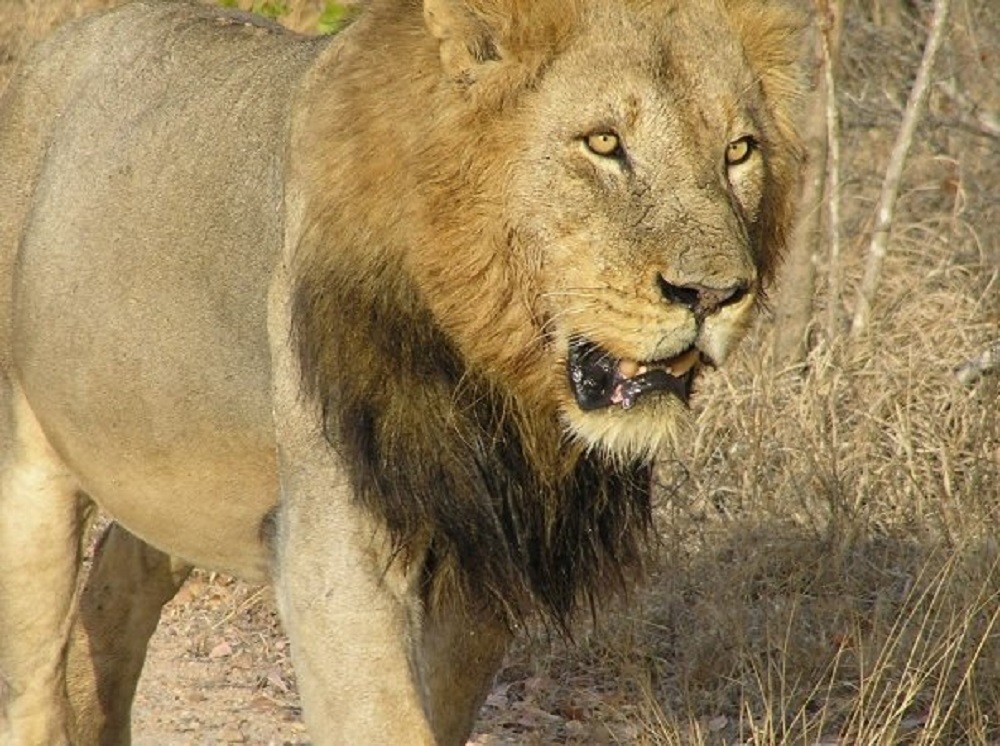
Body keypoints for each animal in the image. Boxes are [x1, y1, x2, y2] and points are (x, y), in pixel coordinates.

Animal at [0, 0, 805, 742]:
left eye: (738, 151)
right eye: (603, 143)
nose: (715, 294)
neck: (487, 371)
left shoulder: (482, 569)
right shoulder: (334, 557)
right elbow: (382, 716)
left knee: (113, 595)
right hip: (29, 482)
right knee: (33, 678)